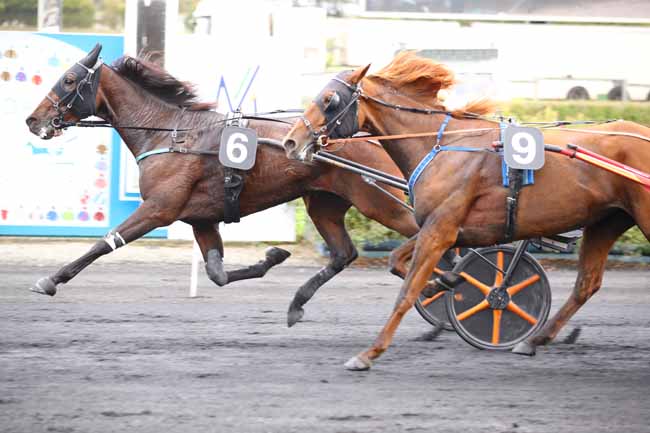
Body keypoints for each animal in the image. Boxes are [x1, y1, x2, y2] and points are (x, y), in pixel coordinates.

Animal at [25, 44, 418, 328]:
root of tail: (372, 134)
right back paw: (298, 305)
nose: (33, 119)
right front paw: (272, 257)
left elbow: (105, 242)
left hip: (382, 202)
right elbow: (217, 273)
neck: (172, 133)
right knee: (343, 254)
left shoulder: (159, 208)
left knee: (424, 237)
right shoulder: (202, 218)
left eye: (70, 80)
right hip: (324, 203)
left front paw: (50, 280)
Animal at [282, 50, 648, 368]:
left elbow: (406, 291)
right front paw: (443, 282)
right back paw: (532, 340)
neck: (441, 146)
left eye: (329, 100)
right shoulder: (440, 226)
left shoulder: (440, 229)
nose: (290, 141)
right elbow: (396, 260)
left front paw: (368, 354)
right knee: (586, 284)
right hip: (606, 221)